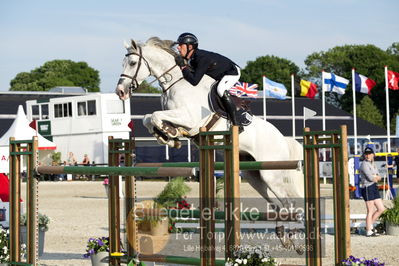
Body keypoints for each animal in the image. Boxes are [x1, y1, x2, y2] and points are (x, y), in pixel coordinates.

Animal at [115, 37, 304, 209]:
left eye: (132, 63)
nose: (120, 91)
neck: (176, 82)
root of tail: (283, 139)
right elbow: (148, 118)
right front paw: (167, 136)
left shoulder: (189, 118)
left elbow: (154, 115)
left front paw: (170, 134)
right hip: (253, 175)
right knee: (277, 204)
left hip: (270, 173)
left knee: (288, 202)